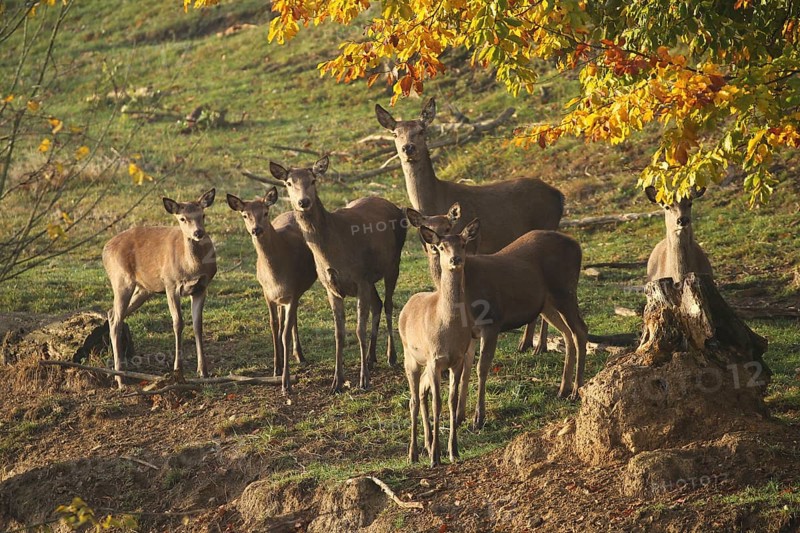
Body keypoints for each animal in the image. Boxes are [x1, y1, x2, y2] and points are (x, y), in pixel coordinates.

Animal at [102, 189, 217, 388]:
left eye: (203, 215)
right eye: (182, 218)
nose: (198, 232)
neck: (191, 267)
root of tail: (104, 250)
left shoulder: (201, 288)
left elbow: (198, 325)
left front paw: (203, 371)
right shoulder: (170, 284)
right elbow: (178, 323)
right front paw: (178, 370)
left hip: (143, 290)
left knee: (111, 314)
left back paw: (121, 372)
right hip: (120, 280)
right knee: (116, 318)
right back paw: (120, 378)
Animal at [226, 187, 317, 393]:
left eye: (266, 212)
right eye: (245, 215)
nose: (256, 229)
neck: (276, 277)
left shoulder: (293, 291)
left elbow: (285, 333)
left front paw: (286, 384)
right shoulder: (266, 294)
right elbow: (274, 326)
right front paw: (276, 367)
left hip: (297, 291)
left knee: (292, 320)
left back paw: (300, 355)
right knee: (286, 320)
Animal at [270, 156, 407, 393]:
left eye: (313, 180)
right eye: (288, 183)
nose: (303, 202)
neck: (331, 252)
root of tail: (396, 207)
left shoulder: (360, 279)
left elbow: (359, 330)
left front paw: (364, 380)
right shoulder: (331, 287)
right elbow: (339, 334)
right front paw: (337, 382)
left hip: (393, 264)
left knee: (389, 304)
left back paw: (391, 356)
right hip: (372, 278)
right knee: (378, 304)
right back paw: (371, 357)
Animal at [376, 98, 564, 355]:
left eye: (421, 130)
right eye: (395, 133)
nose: (408, 148)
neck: (436, 199)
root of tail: (560, 197)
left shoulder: (472, 246)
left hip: (548, 226)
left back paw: (539, 345)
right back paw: (526, 342)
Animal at [400, 219, 479, 466]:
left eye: (463, 243)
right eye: (442, 247)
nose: (456, 260)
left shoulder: (457, 359)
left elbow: (452, 401)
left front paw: (454, 451)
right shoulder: (435, 359)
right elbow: (438, 403)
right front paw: (436, 456)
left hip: (426, 363)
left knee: (422, 393)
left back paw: (426, 445)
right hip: (410, 356)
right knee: (413, 400)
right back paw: (413, 453)